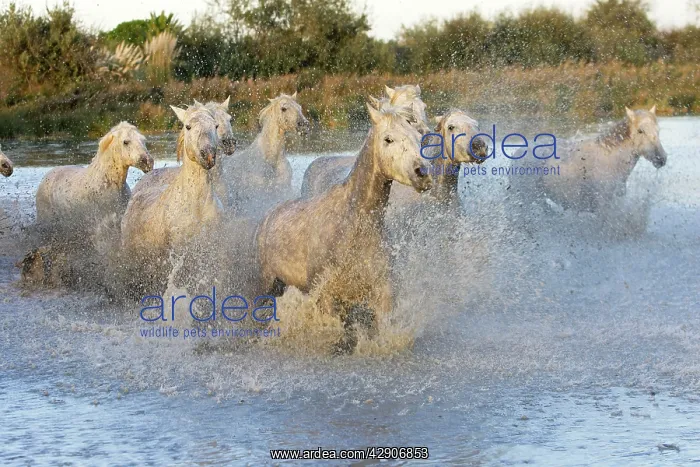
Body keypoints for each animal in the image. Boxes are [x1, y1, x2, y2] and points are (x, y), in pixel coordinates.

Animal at [255, 103, 431, 350]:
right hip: (267, 285)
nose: (422, 173)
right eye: (388, 139)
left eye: (418, 137)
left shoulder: (382, 292)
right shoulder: (327, 296)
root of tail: (268, 217)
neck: (353, 226)